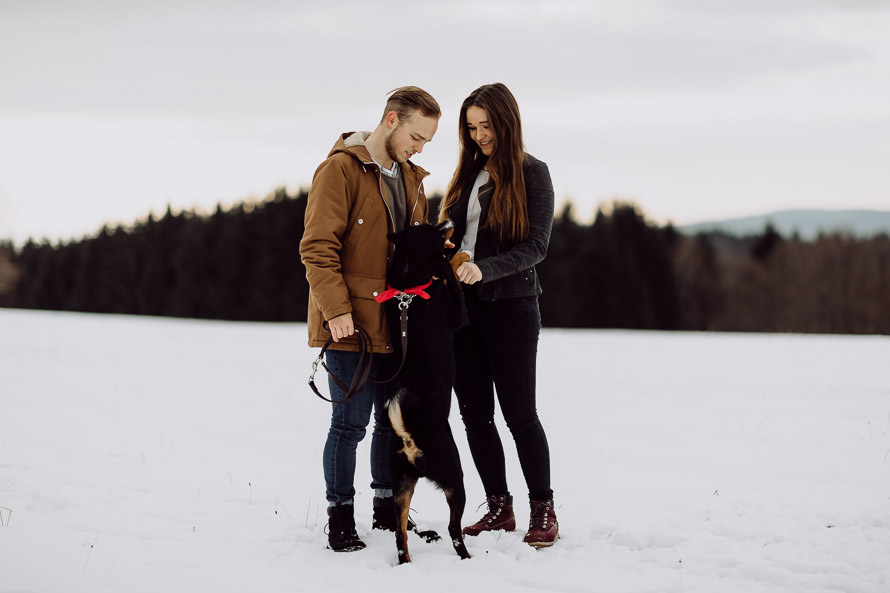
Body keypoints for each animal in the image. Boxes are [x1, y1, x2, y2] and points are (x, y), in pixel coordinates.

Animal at [374, 219, 472, 564]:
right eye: (431, 227)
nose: (447, 220)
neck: (408, 288)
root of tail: (409, 437)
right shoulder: (457, 314)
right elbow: (451, 275)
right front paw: (457, 259)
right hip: (454, 476)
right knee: (454, 529)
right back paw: (466, 556)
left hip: (401, 484)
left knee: (400, 533)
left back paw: (405, 562)